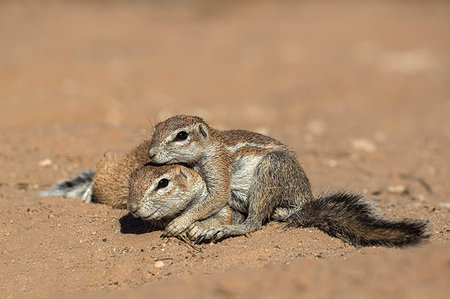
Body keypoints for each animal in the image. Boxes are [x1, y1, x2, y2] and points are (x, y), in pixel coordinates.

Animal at [144, 115, 428, 246]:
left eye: (181, 135)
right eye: (155, 129)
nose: (151, 153)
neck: (210, 146)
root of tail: (305, 204)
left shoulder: (218, 165)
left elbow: (216, 196)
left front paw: (180, 223)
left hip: (271, 170)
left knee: (254, 224)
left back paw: (222, 229)